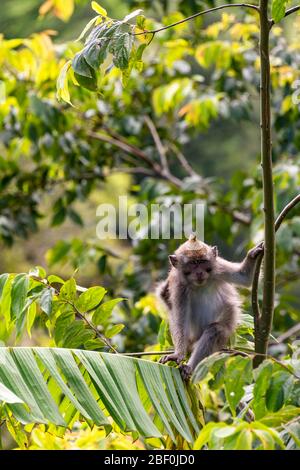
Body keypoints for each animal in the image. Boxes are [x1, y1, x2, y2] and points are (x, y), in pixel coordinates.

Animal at [157, 233, 262, 380]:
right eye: (193, 263)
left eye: (202, 261)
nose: (199, 272)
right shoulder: (178, 285)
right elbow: (179, 319)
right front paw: (178, 354)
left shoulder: (219, 267)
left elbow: (245, 277)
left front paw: (253, 254)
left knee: (215, 330)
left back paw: (189, 367)